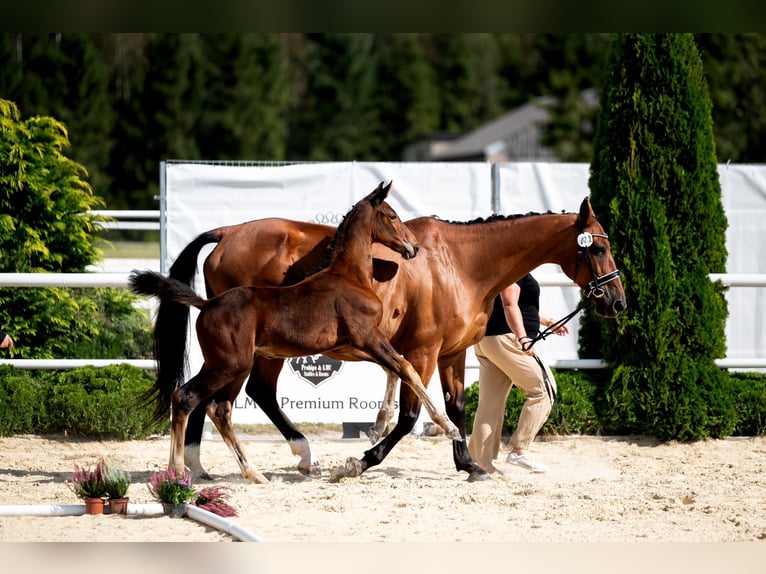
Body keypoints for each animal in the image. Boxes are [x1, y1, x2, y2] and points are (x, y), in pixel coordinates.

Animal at [129, 183, 462, 482]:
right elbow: (407, 368)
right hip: (230, 365)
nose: (413, 247)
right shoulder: (368, 337)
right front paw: (449, 428)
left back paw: (251, 473)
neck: (348, 275)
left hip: (232, 366)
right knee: (187, 397)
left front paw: (378, 426)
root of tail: (207, 302)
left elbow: (393, 369)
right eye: (392, 215)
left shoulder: (353, 344)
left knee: (219, 407)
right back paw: (180, 471)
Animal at [158, 196, 632, 484]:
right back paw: (296, 454)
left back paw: (200, 465)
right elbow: (409, 416)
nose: (617, 301)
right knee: (242, 394)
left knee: (217, 397)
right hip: (257, 352)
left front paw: (469, 463)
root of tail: (228, 233)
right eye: (596, 248)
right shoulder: (420, 352)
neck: (461, 263)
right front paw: (361, 460)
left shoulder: (452, 353)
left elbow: (457, 408)